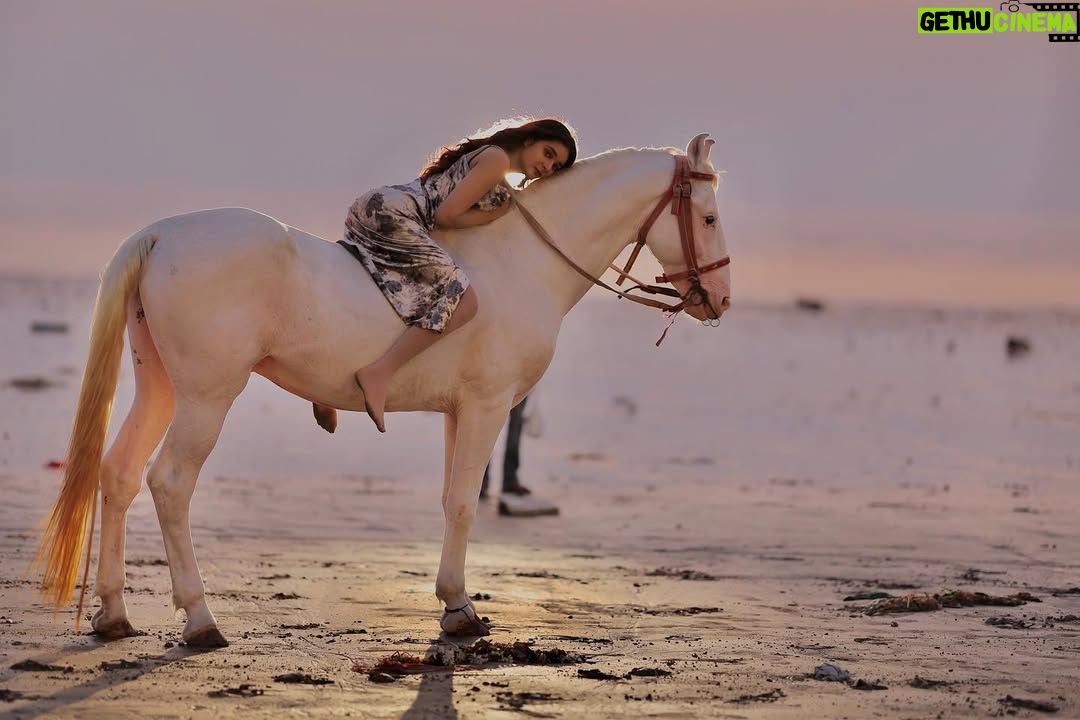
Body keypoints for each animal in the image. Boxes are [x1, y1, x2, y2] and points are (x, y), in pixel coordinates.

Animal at [36, 133, 731, 647]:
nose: (721, 300)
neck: (520, 262)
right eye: (708, 216)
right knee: (170, 483)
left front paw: (456, 603)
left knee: (119, 474)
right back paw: (202, 619)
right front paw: (459, 611)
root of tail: (163, 233)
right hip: (207, 399)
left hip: (161, 389)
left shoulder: (460, 412)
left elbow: (452, 499)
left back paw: (114, 616)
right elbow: (464, 503)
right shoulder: (488, 406)